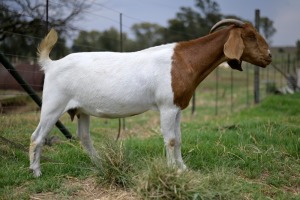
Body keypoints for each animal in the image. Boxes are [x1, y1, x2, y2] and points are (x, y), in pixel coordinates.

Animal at [29, 19, 270, 177]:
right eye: (250, 35)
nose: (268, 56)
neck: (185, 60)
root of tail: (51, 65)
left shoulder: (177, 107)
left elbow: (179, 138)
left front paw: (183, 168)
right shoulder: (167, 106)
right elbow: (170, 139)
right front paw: (173, 170)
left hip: (82, 110)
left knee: (85, 138)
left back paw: (100, 166)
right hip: (53, 105)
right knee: (37, 137)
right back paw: (36, 172)